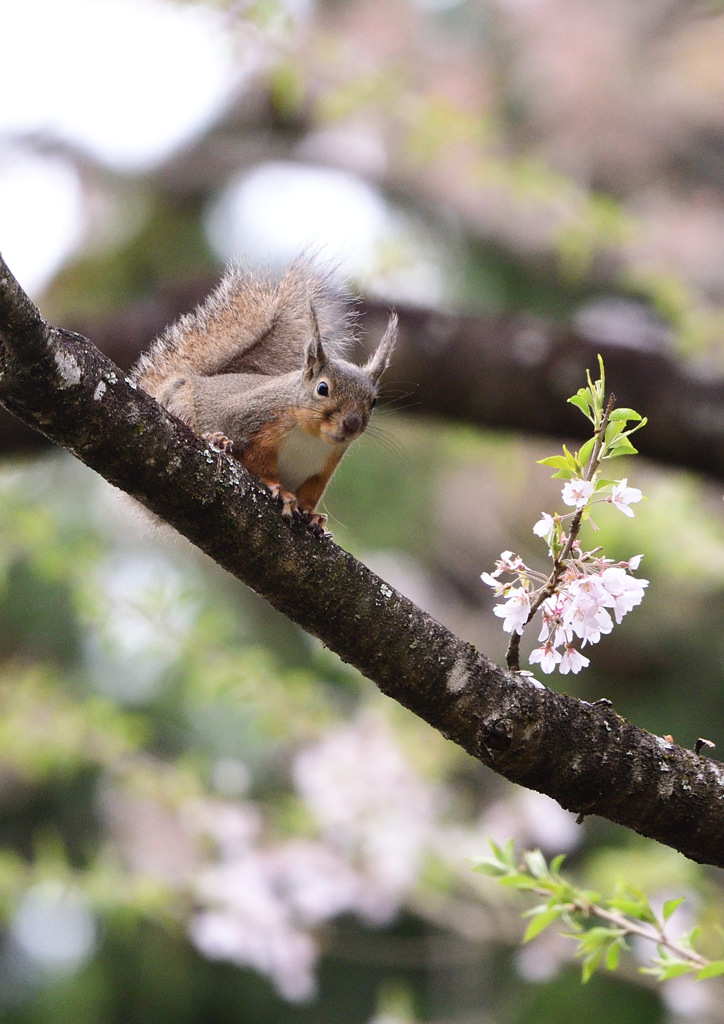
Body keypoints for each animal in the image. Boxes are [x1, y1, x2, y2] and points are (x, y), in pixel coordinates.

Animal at [133, 260, 399, 536]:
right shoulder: (255, 423)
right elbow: (259, 464)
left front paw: (313, 516)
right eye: (322, 388)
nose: (351, 424)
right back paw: (214, 439)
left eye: (373, 401)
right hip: (180, 401)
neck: (312, 437)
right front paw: (280, 491)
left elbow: (310, 494)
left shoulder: (323, 468)